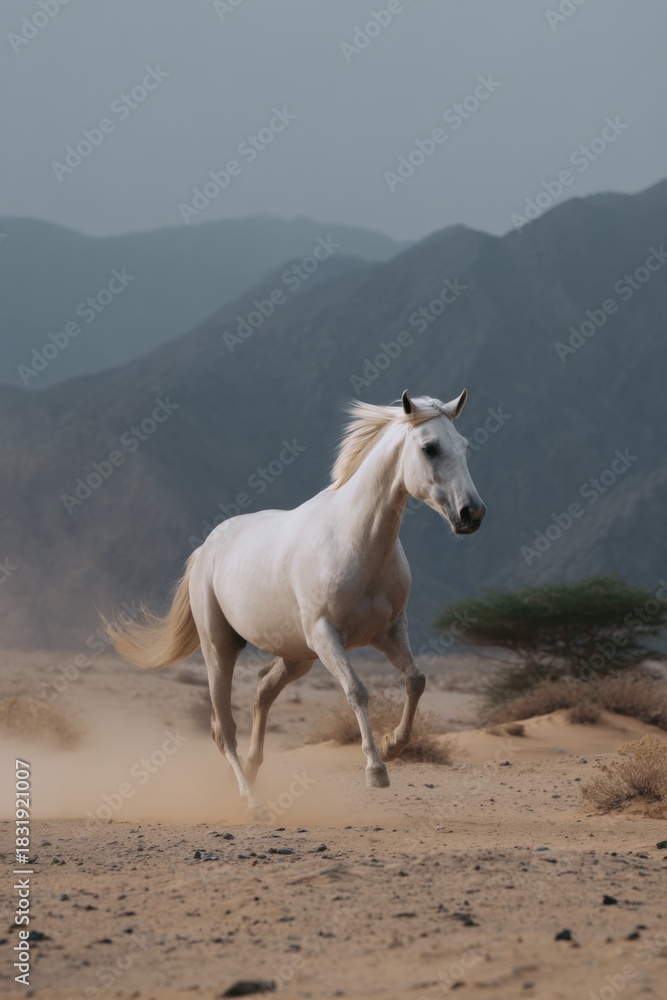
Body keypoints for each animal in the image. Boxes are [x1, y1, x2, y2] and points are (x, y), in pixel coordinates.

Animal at [104, 389, 485, 809]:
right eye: (430, 448)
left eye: (464, 446)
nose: (472, 513)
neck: (357, 541)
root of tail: (206, 549)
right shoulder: (326, 634)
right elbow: (357, 691)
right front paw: (376, 770)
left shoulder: (389, 632)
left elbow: (415, 680)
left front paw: (392, 745)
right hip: (221, 649)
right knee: (224, 727)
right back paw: (251, 799)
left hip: (297, 656)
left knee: (263, 690)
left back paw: (254, 767)